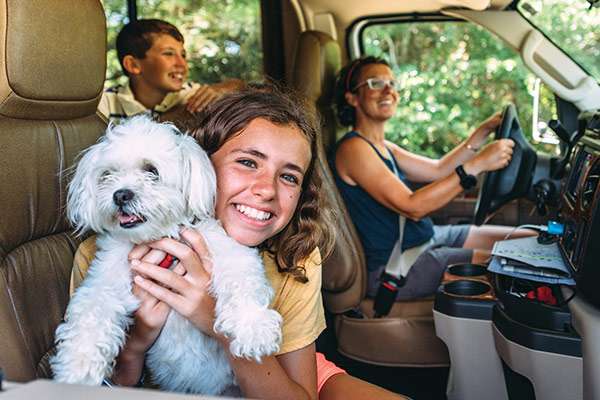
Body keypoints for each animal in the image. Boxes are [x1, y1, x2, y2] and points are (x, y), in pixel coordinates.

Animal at [50, 115, 282, 394]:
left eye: (152, 171)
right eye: (108, 175)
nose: (121, 194)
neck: (158, 239)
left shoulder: (227, 250)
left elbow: (242, 280)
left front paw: (253, 327)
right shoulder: (105, 279)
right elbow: (92, 312)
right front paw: (78, 366)